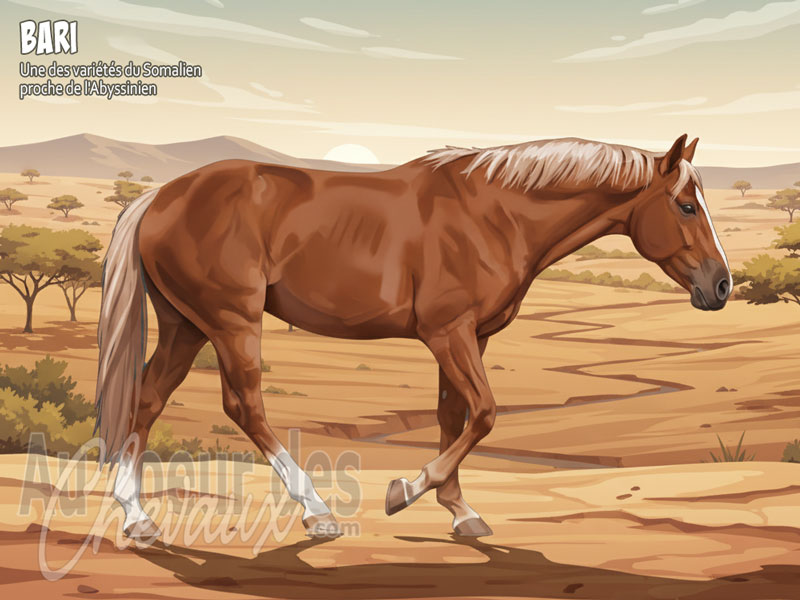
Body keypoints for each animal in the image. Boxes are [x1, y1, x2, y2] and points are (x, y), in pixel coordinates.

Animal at [95, 133, 731, 541]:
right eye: (685, 205)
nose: (721, 285)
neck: (494, 214)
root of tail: (159, 197)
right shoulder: (449, 333)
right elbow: (484, 412)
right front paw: (404, 489)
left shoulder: (470, 337)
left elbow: (454, 415)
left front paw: (460, 512)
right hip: (231, 322)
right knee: (244, 405)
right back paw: (318, 513)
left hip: (186, 325)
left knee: (148, 398)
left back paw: (137, 518)